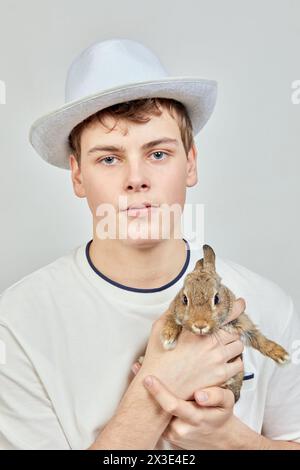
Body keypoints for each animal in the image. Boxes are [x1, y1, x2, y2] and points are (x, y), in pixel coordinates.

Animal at [138, 244, 290, 402]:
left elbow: (258, 338)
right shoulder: (173, 312)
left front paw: (282, 356)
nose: (200, 325)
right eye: (184, 299)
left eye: (216, 298)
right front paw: (168, 338)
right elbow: (172, 321)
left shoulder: (241, 322)